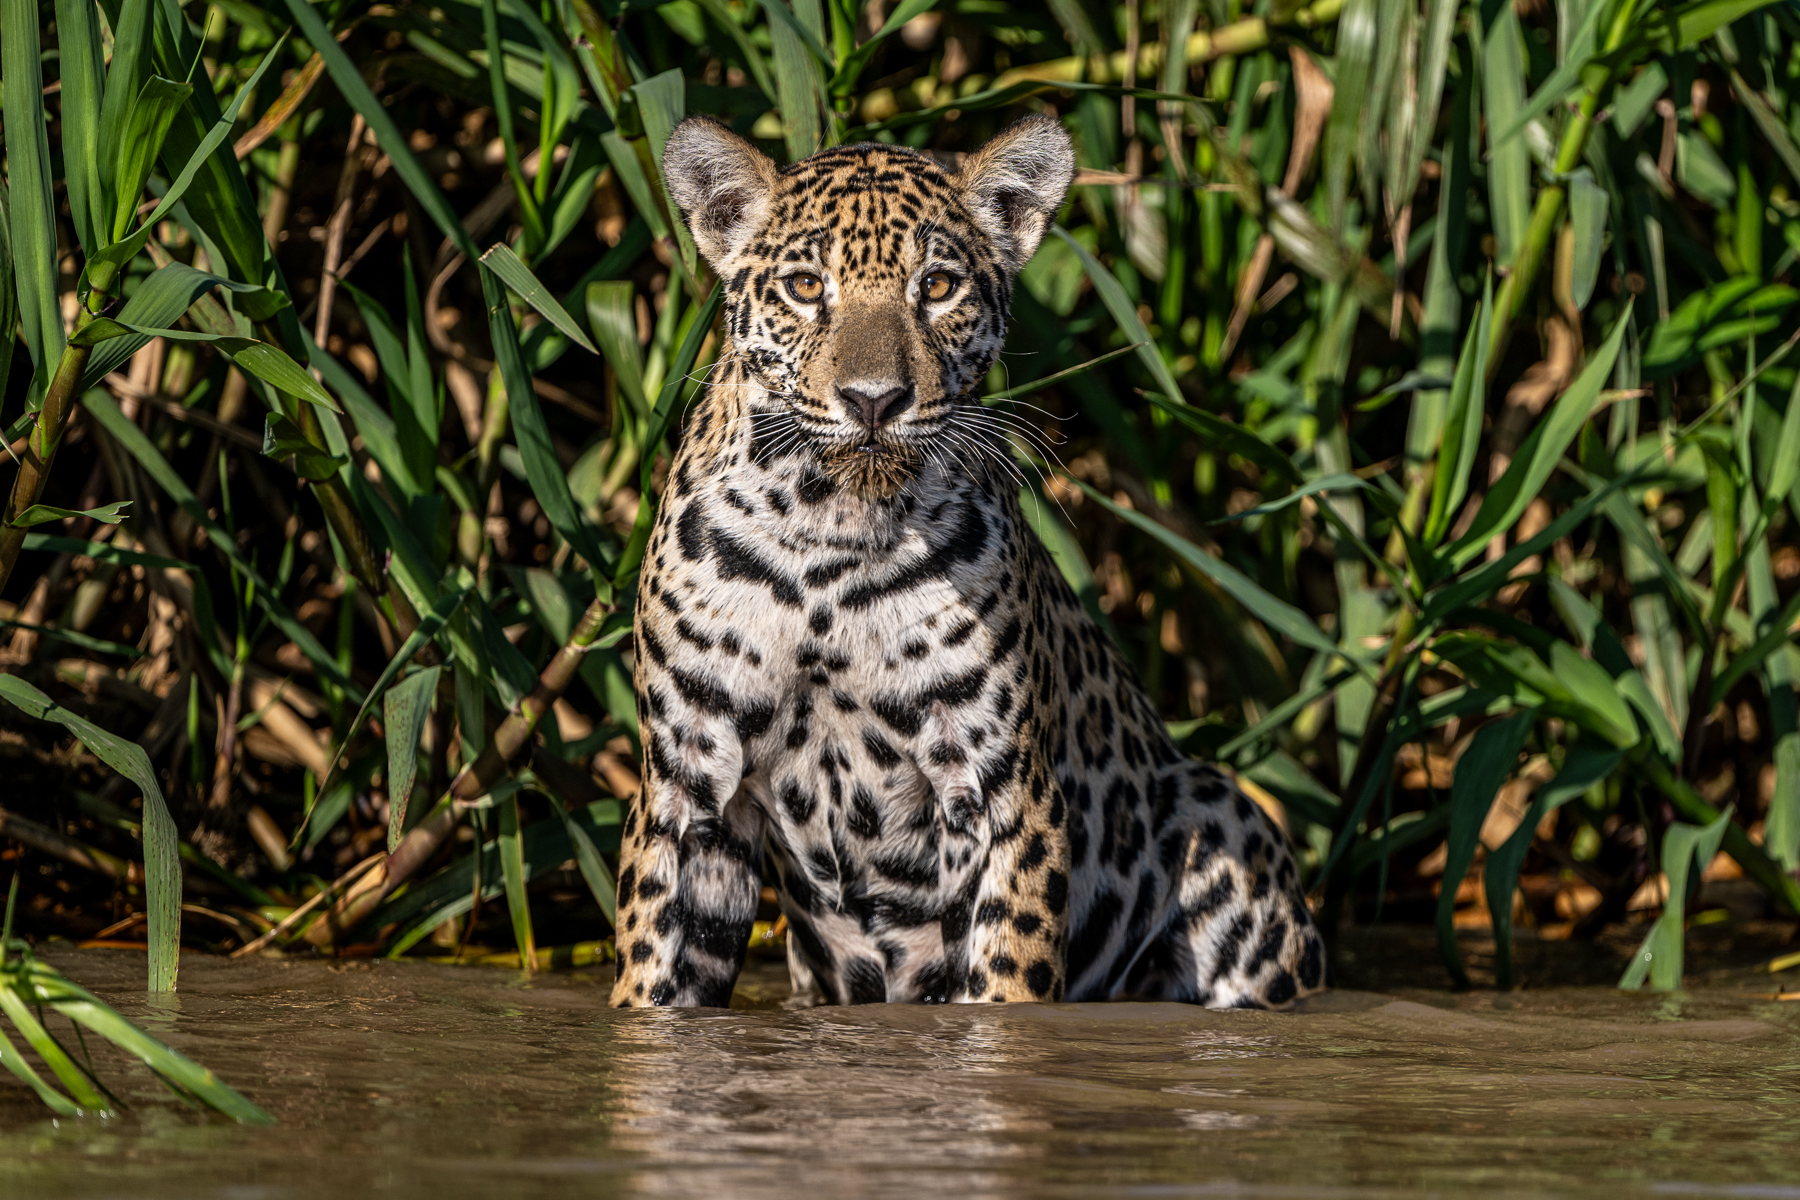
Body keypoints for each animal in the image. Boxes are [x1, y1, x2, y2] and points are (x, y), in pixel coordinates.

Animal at [608, 112, 1326, 1009]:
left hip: (1219, 809)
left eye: (940, 287)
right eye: (805, 287)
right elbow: (650, 974)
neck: (831, 534)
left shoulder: (1008, 794)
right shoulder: (685, 783)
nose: (874, 400)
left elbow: (1010, 981)